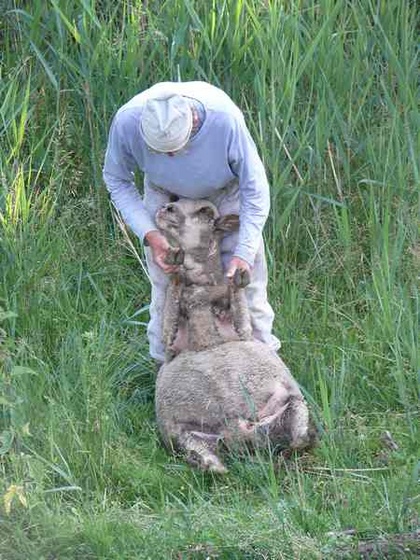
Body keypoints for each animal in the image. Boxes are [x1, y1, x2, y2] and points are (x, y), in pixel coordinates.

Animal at [153, 199, 312, 470]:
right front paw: (174, 262)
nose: (166, 209)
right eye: (173, 199)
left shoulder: (241, 330)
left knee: (300, 439)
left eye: (205, 211)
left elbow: (237, 301)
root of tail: (239, 432)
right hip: (182, 435)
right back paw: (215, 464)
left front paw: (238, 276)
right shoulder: (171, 344)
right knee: (207, 456)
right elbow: (173, 297)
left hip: (294, 405)